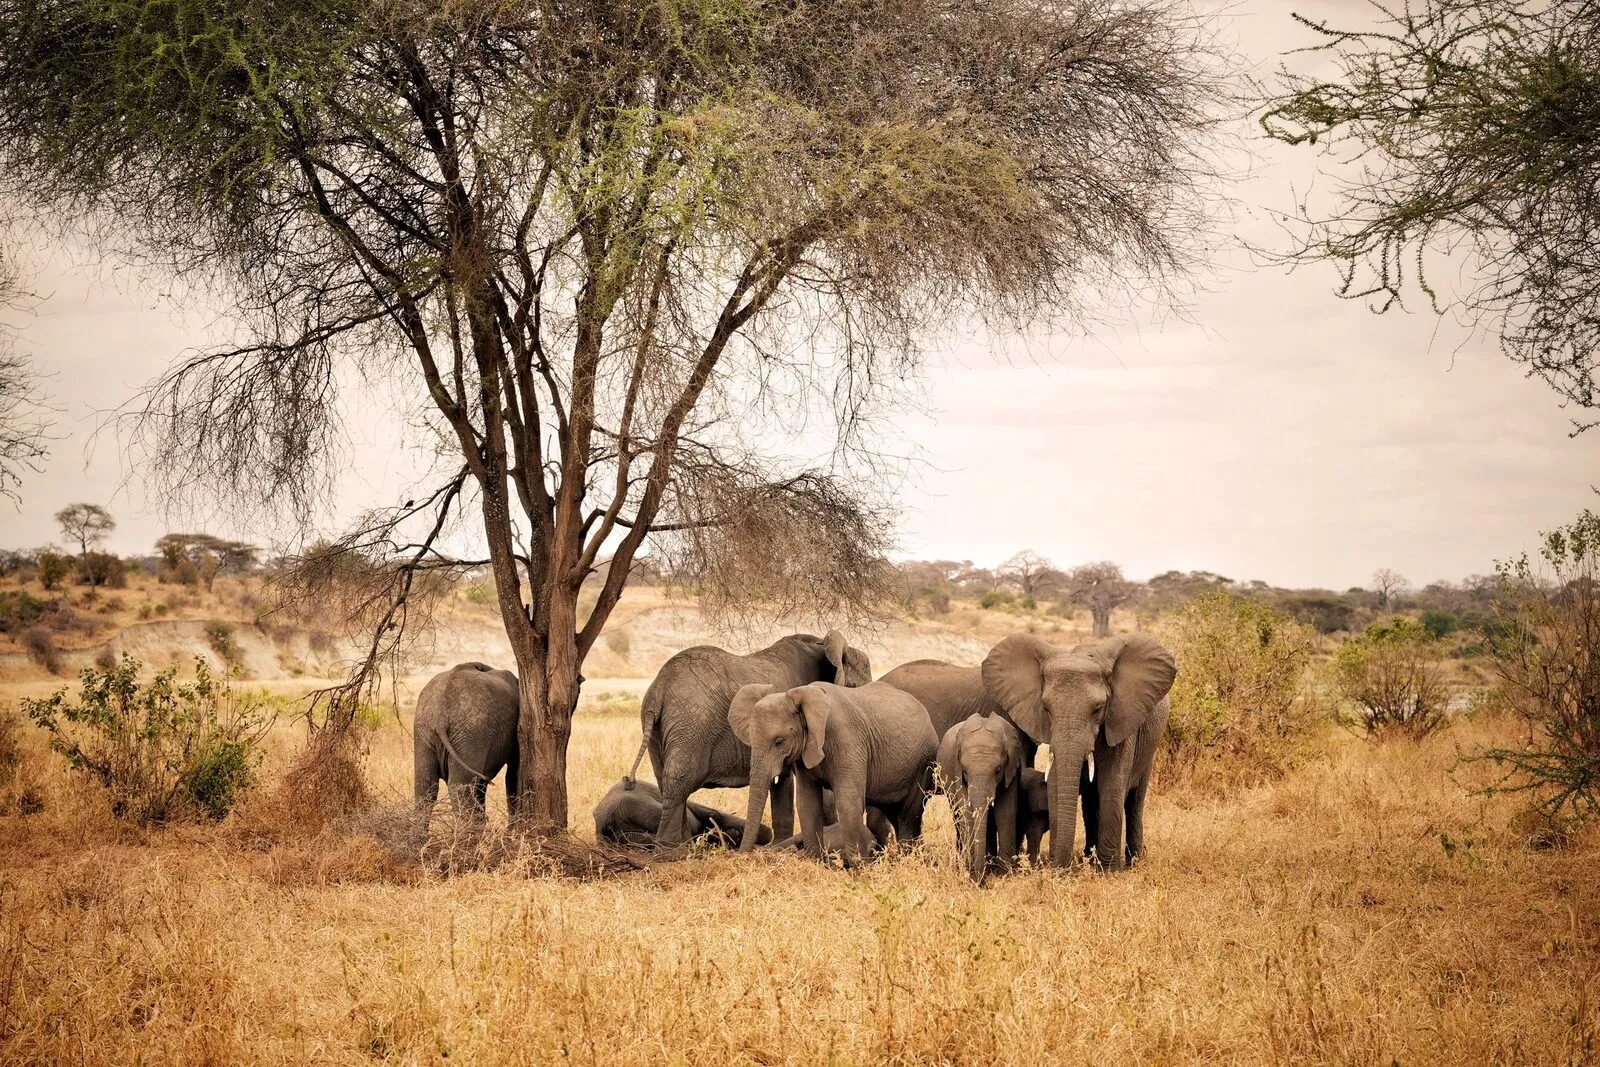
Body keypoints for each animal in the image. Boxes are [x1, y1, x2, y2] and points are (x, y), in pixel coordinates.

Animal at [413, 662, 520, 826]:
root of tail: (440, 717)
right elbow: (513, 773)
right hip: (471, 732)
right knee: (460, 786)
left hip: (425, 730)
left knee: (426, 786)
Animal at [627, 631, 872, 847]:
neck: (821, 643)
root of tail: (658, 689)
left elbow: (781, 780)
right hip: (690, 724)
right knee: (677, 781)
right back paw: (671, 851)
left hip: (658, 730)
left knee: (667, 783)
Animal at [729, 680, 937, 867]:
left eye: (780, 741)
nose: (743, 858)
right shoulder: (806, 751)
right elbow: (807, 803)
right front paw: (815, 864)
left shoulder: (849, 742)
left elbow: (847, 803)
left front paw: (860, 871)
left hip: (922, 765)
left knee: (908, 816)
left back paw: (906, 861)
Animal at [937, 712, 1026, 883]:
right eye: (965, 771)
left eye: (998, 770)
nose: (981, 882)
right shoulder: (956, 771)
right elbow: (966, 814)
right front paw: (972, 875)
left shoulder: (1011, 769)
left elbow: (1005, 812)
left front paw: (1004, 876)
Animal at [982, 632, 1176, 870]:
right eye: (1046, 708)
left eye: (1098, 709)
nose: (1060, 865)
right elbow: (1056, 784)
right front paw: (1060, 867)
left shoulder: (1120, 721)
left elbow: (1112, 786)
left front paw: (1109, 871)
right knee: (1091, 803)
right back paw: (1088, 858)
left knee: (1134, 801)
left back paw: (1133, 862)